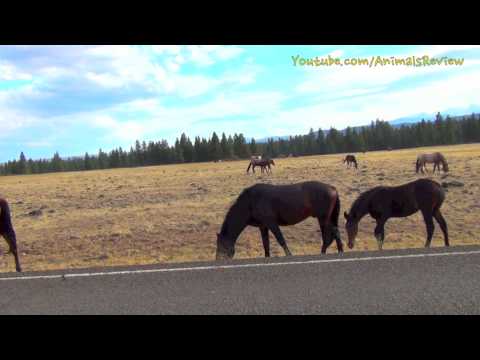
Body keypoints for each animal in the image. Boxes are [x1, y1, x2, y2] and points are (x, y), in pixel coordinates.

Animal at [216, 181, 344, 260]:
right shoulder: (263, 226)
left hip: (323, 218)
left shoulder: (271, 223)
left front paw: (289, 255)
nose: (218, 259)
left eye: (221, 246)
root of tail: (332, 188)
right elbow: (266, 244)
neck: (250, 201)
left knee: (332, 234)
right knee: (332, 234)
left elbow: (280, 239)